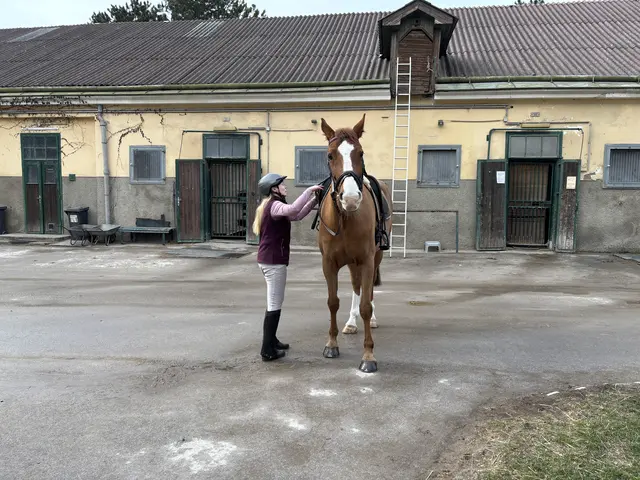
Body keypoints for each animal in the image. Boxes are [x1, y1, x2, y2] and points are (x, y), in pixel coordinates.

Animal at [316, 114, 393, 373]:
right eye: (330, 155)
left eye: (360, 153)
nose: (350, 199)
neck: (347, 218)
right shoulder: (329, 263)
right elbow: (332, 302)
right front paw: (331, 344)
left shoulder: (367, 261)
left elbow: (366, 306)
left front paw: (368, 355)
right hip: (351, 263)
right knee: (356, 287)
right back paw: (350, 323)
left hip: (375, 258)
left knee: (367, 293)